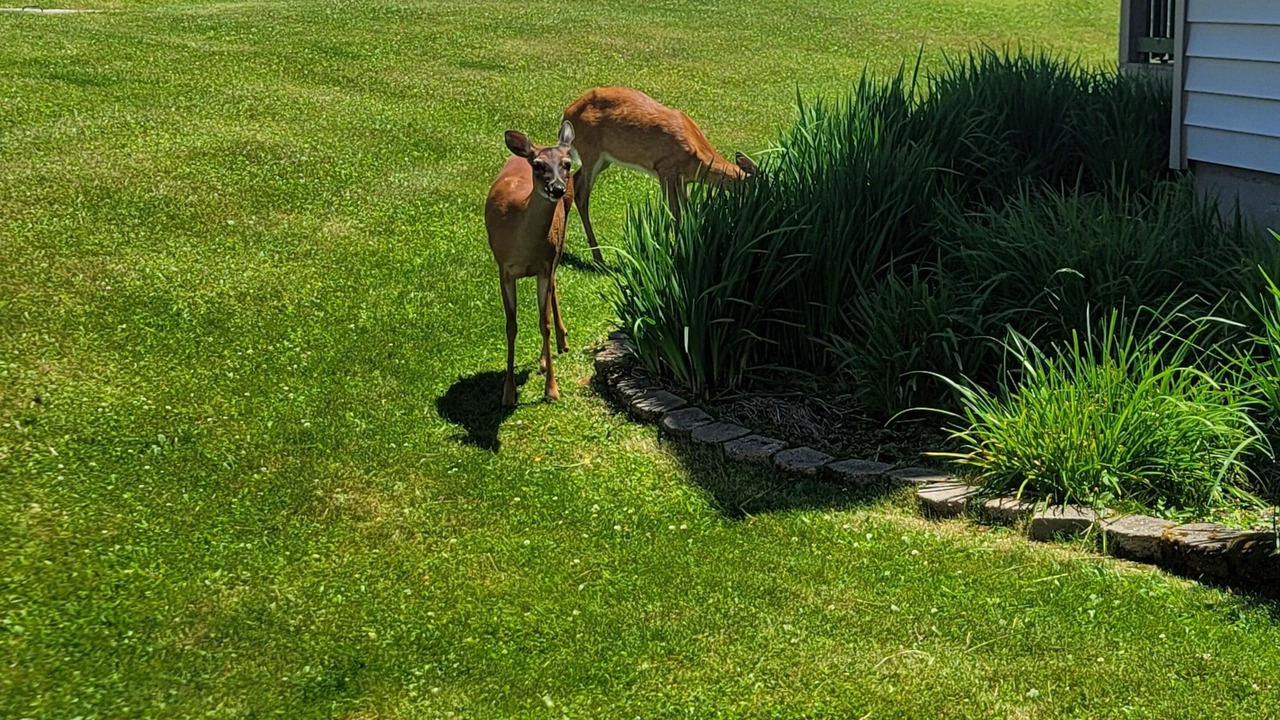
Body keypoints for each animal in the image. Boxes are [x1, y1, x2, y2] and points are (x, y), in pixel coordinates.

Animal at [485, 120, 576, 406]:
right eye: (538, 165)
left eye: (567, 163)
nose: (557, 188)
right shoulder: (503, 267)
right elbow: (511, 326)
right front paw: (508, 392)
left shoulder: (544, 265)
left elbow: (543, 323)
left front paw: (552, 390)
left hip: (562, 236)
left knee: (554, 287)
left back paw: (558, 345)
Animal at [562, 86, 759, 263]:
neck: (698, 156)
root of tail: (568, 113)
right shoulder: (666, 169)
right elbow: (675, 212)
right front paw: (678, 254)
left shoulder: (682, 180)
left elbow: (688, 211)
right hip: (591, 152)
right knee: (582, 194)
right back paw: (598, 257)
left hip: (604, 160)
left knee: (574, 180)